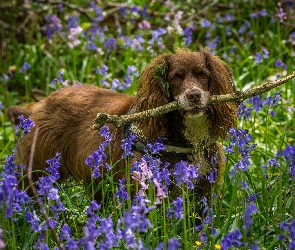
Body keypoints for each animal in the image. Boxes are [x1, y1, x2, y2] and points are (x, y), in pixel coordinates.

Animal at [6, 48, 238, 199]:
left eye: (203, 75)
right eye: (175, 78)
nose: (194, 95)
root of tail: (38, 106)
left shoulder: (203, 188)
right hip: (36, 169)